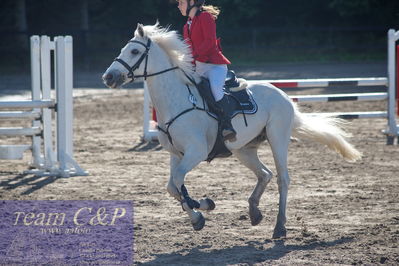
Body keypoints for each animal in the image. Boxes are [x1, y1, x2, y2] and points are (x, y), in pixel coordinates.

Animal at [103, 23, 362, 239]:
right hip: (244, 150)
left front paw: (202, 207)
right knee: (265, 174)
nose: (108, 77)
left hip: (277, 139)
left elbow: (179, 184)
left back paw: (279, 227)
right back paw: (255, 212)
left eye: (134, 52)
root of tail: (282, 94)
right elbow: (173, 187)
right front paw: (199, 215)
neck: (176, 100)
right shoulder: (176, 155)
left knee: (282, 179)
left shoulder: (196, 152)